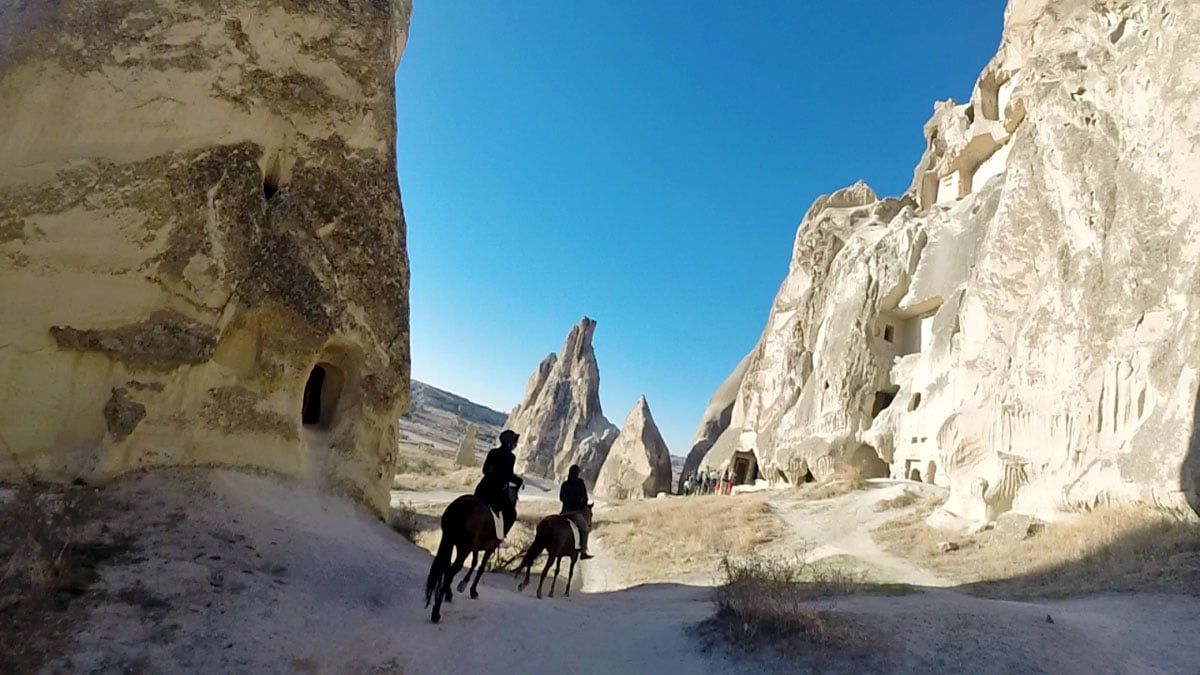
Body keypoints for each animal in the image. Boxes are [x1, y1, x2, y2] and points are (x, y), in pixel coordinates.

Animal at [424, 487, 508, 619]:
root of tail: (461, 507)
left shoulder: (476, 547)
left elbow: (474, 562)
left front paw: (464, 584)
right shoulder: (490, 548)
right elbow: (480, 567)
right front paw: (472, 590)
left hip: (448, 540)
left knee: (447, 566)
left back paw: (448, 594)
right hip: (464, 548)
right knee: (451, 571)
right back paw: (436, 612)